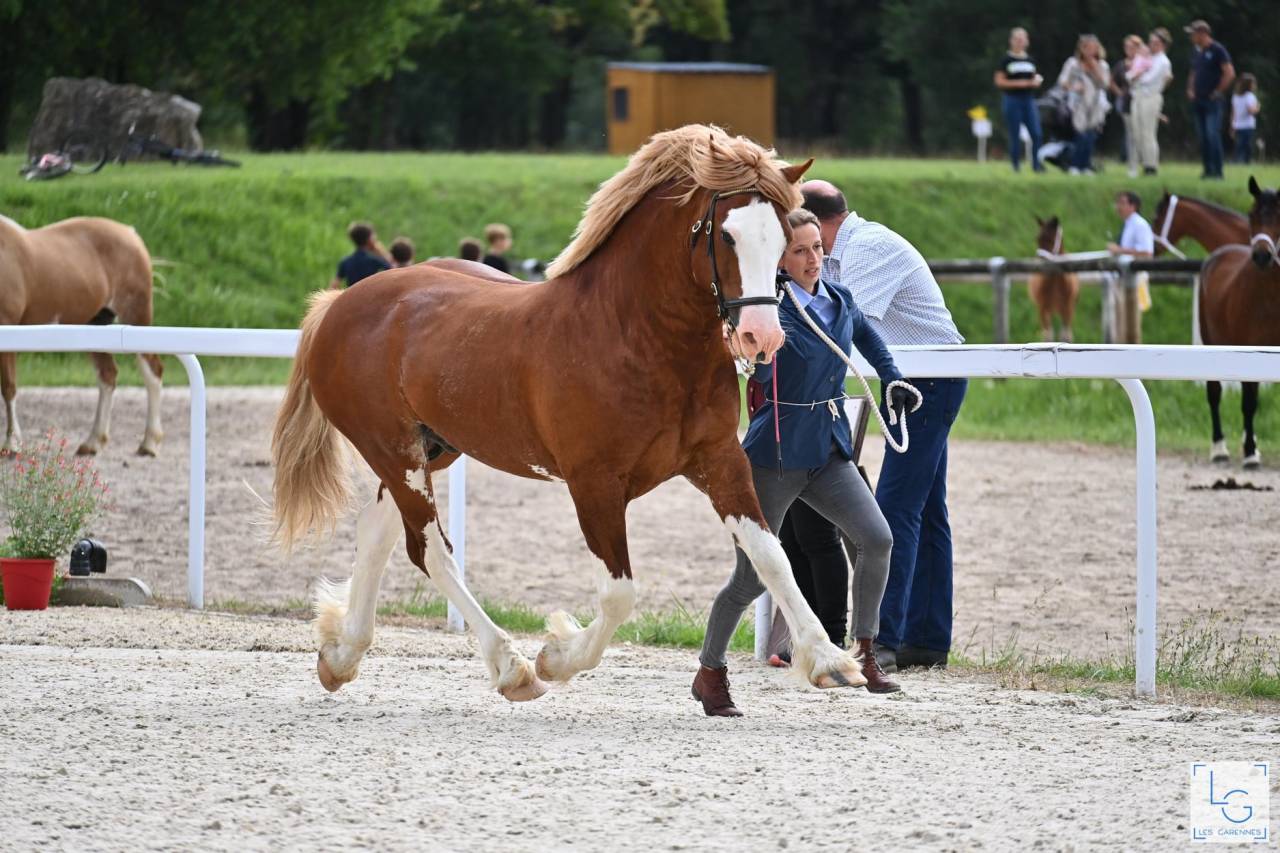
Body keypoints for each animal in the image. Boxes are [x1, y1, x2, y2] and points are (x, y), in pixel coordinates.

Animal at [0, 214, 164, 456]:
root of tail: (129, 233)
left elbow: (9, 387)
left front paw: (11, 444)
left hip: (137, 316)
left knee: (152, 371)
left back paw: (149, 442)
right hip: (95, 324)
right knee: (107, 375)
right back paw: (93, 442)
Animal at [269, 124, 868, 703]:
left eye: (785, 237)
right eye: (725, 235)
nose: (761, 338)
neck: (638, 338)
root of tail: (339, 305)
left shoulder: (719, 462)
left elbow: (771, 556)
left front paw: (831, 662)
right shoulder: (594, 483)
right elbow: (620, 592)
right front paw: (556, 657)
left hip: (431, 450)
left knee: (378, 531)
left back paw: (341, 656)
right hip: (396, 453)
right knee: (431, 551)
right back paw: (511, 668)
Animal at [1198, 177, 1280, 469]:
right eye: (1251, 214)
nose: (1262, 256)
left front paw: (1252, 446)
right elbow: (1249, 402)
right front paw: (1249, 453)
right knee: (1215, 392)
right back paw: (1220, 448)